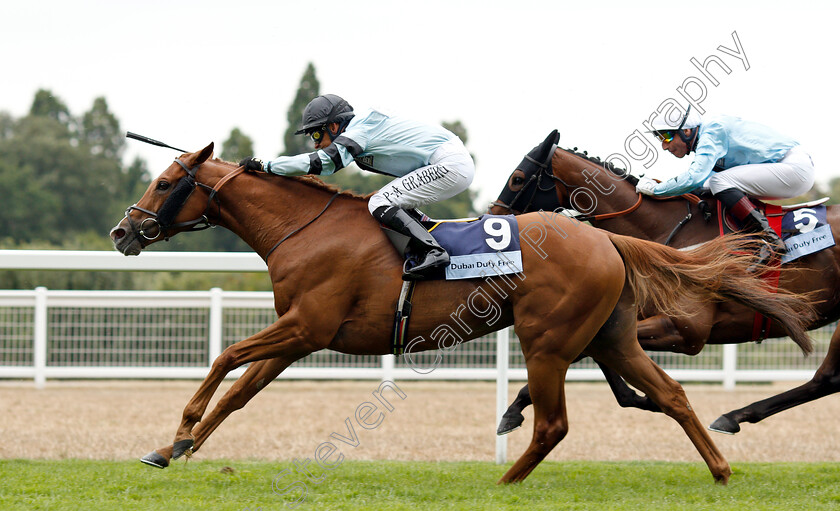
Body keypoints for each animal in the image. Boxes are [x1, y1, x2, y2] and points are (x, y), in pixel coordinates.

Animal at [110, 142, 812, 486]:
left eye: (165, 182)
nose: (123, 232)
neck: (304, 229)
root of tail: (605, 239)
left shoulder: (305, 326)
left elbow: (223, 358)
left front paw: (181, 430)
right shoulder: (296, 338)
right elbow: (238, 393)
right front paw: (172, 448)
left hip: (547, 340)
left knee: (553, 423)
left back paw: (505, 483)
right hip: (613, 337)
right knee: (670, 393)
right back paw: (720, 469)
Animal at [488, 131, 836, 436]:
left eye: (517, 178)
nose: (494, 220)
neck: (665, 230)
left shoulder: (685, 331)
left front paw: (513, 410)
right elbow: (598, 352)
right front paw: (639, 398)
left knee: (828, 378)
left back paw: (732, 417)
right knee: (828, 379)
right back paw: (734, 417)